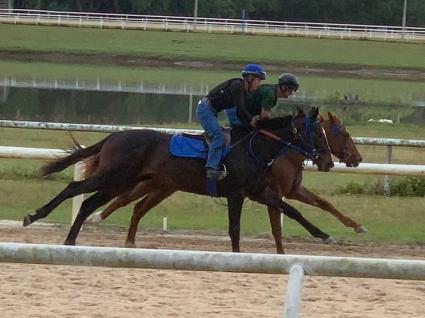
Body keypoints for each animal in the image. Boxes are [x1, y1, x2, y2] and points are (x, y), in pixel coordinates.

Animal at [23, 107, 332, 248]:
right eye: (318, 133)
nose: (328, 162)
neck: (252, 147)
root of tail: (114, 136)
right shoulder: (235, 193)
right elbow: (234, 228)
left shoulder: (257, 191)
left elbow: (291, 210)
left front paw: (323, 234)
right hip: (112, 176)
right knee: (74, 187)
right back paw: (35, 216)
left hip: (120, 182)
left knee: (87, 203)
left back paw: (70, 240)